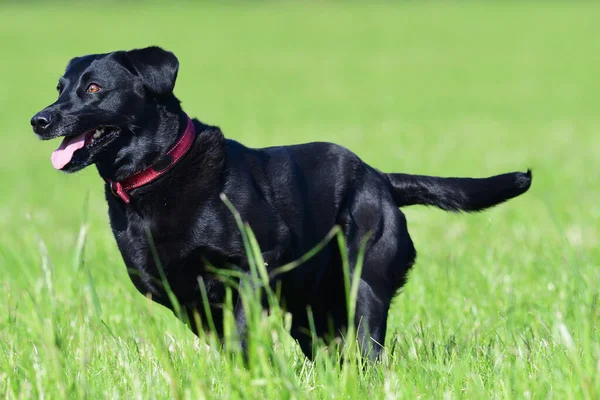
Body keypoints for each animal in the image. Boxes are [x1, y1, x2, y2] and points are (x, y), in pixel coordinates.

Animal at [30, 46, 532, 360]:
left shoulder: (253, 267)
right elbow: (229, 347)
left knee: (368, 349)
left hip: (363, 281)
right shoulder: (182, 298)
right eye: (59, 88)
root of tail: (380, 178)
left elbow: (243, 336)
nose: (39, 120)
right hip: (310, 308)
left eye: (94, 88)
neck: (159, 175)